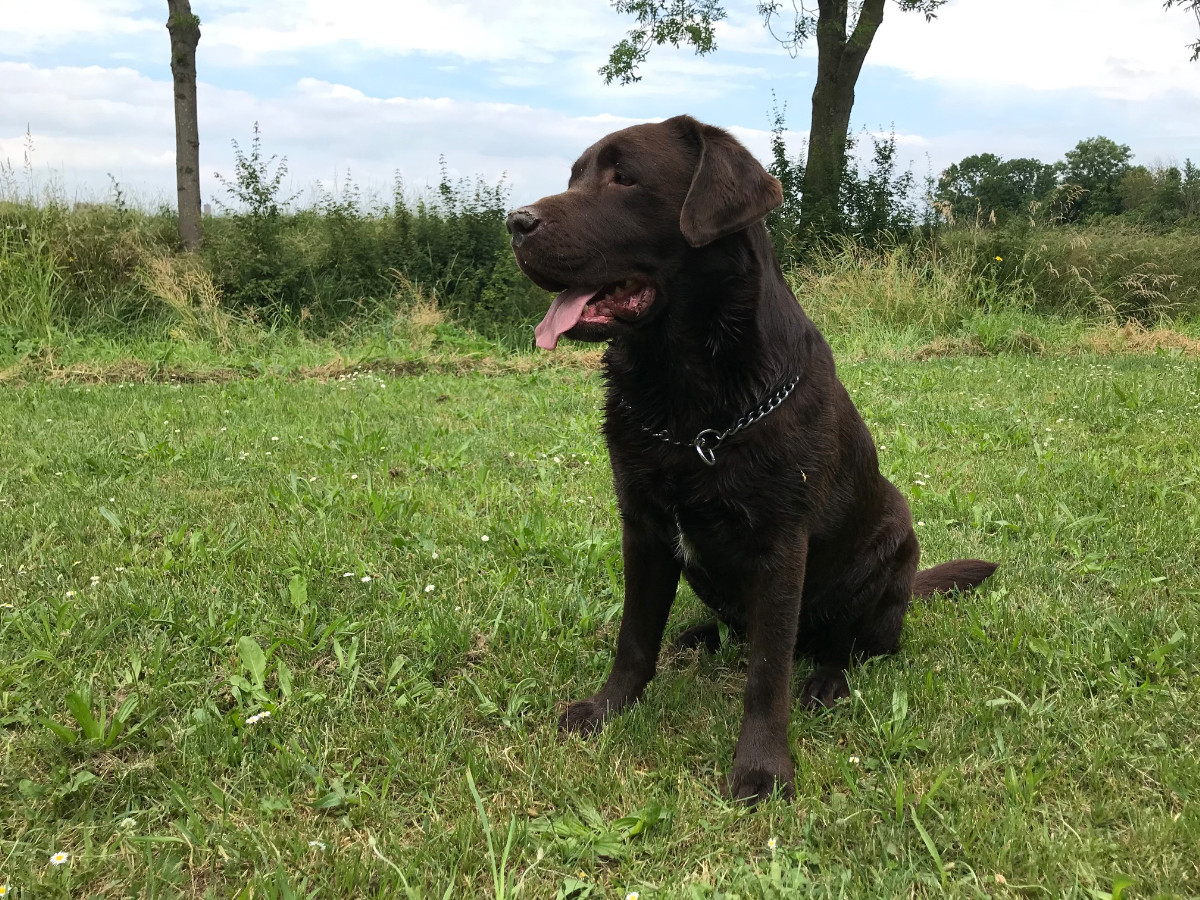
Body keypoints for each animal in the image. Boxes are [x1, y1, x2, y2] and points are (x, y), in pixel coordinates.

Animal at [504, 116, 993, 806]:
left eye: (624, 177)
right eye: (573, 177)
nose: (514, 222)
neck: (686, 401)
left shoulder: (781, 542)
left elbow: (768, 671)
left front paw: (762, 766)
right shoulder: (643, 527)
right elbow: (634, 637)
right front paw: (607, 708)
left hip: (890, 543)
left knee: (842, 644)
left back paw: (826, 681)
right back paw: (698, 636)